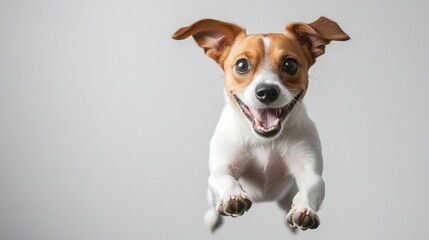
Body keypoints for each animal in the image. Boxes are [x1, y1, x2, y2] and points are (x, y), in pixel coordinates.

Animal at [171, 16, 348, 232]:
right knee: (212, 204)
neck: (265, 142)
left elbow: (308, 189)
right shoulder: (221, 168)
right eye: (241, 65)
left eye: (289, 64)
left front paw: (304, 209)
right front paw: (233, 196)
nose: (267, 91)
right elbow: (225, 178)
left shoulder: (310, 172)